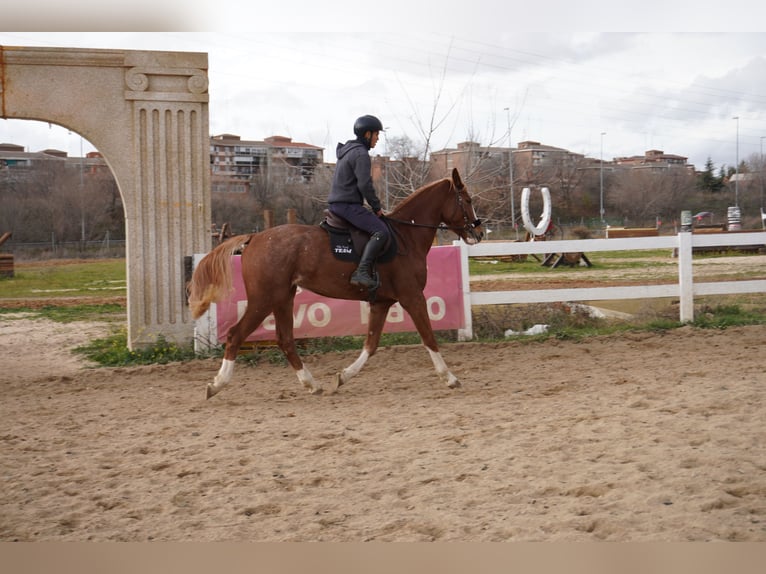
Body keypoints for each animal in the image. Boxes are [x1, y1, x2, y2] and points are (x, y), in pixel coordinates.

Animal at [188, 168, 484, 400]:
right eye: (467, 200)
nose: (479, 231)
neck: (405, 236)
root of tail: (254, 238)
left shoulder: (382, 302)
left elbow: (371, 344)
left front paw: (343, 376)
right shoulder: (412, 297)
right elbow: (429, 337)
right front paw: (450, 378)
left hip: (283, 298)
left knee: (285, 340)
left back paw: (311, 384)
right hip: (264, 299)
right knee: (235, 335)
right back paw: (217, 384)